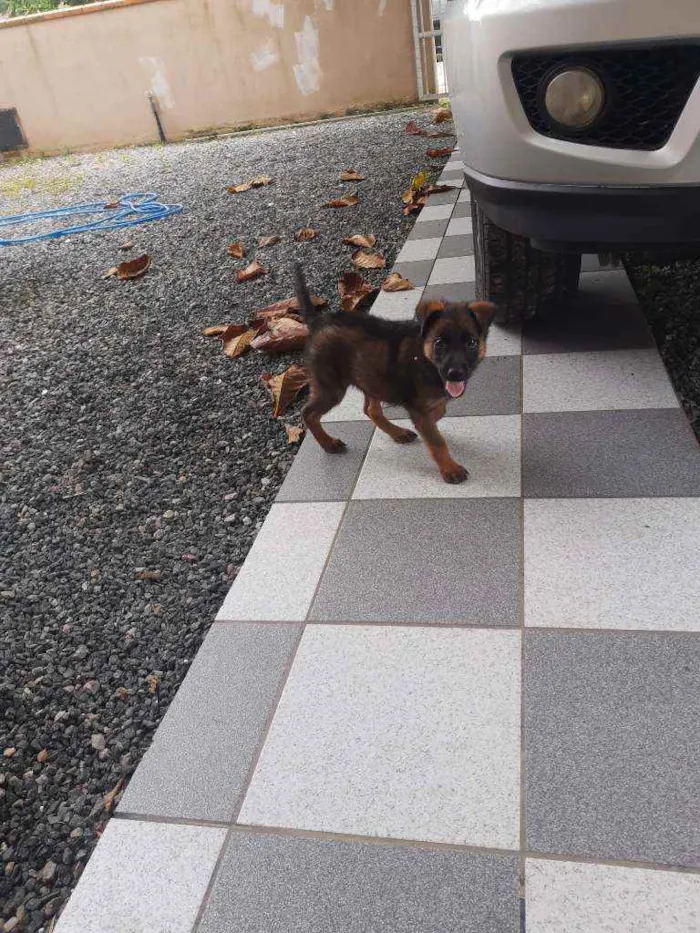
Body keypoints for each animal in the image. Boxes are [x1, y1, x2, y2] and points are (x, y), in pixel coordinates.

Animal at [296, 262, 498, 480]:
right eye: (439, 343)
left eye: (471, 343)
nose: (456, 374)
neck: (426, 360)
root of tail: (317, 321)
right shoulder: (420, 408)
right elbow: (436, 441)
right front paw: (450, 469)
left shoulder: (425, 405)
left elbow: (438, 414)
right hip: (330, 387)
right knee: (308, 413)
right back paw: (328, 444)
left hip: (370, 375)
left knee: (371, 409)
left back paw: (398, 432)